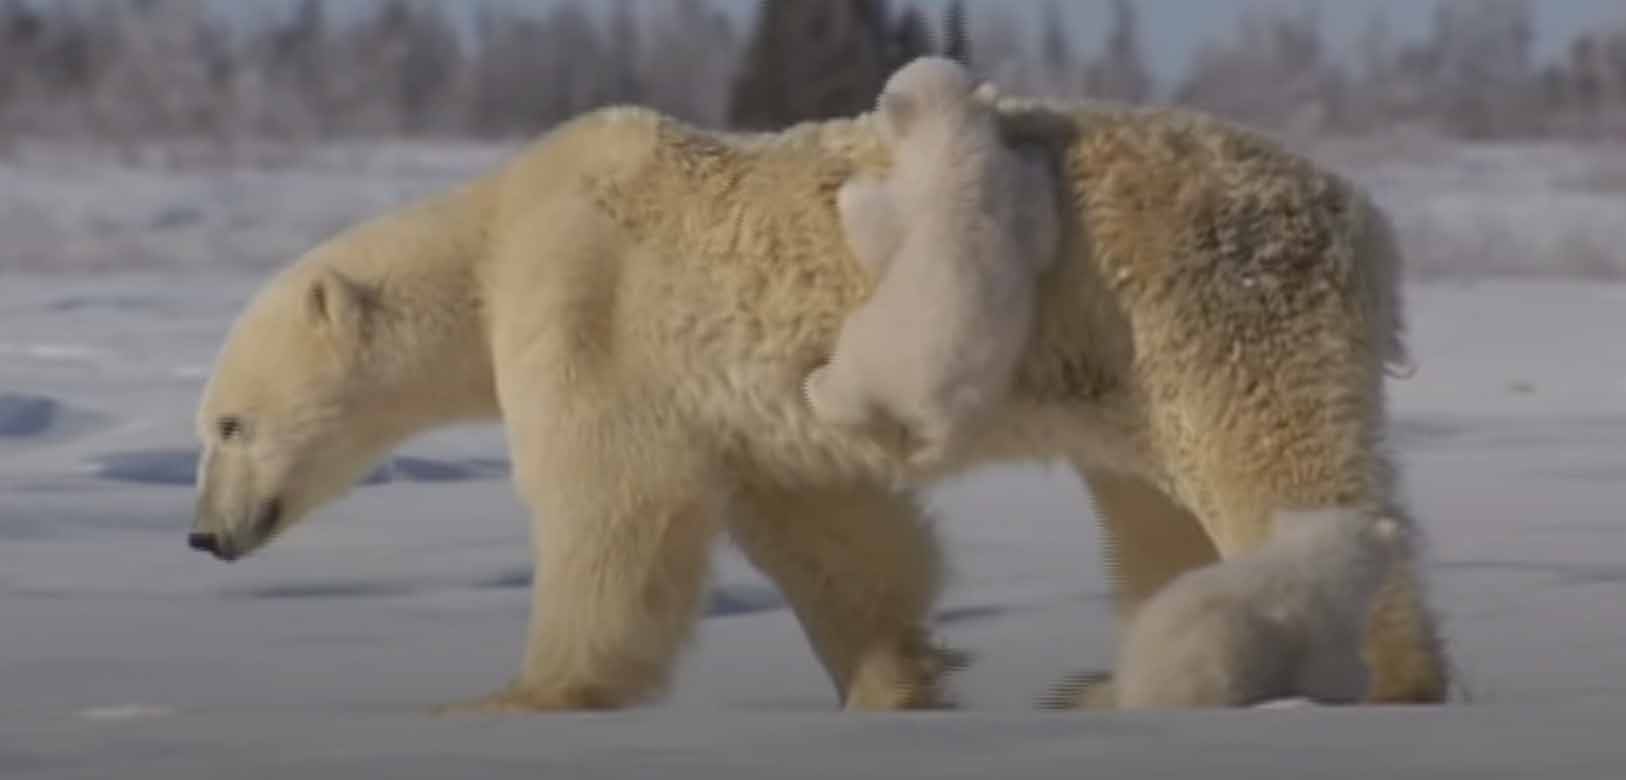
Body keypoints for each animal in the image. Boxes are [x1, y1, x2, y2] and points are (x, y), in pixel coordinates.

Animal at [186, 88, 1450, 708]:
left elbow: (612, 509)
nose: (202, 536)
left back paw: (1368, 678)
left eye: (229, 424)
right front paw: (893, 685)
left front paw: (521, 700)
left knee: (1275, 470)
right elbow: (832, 534)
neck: (496, 234)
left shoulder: (585, 313)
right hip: (1136, 358)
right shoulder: (740, 409)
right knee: (1154, 510)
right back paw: (1119, 682)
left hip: (1201, 303)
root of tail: (1366, 219)